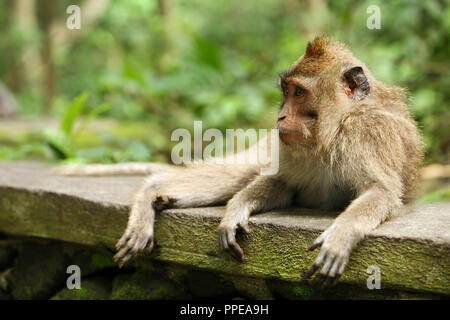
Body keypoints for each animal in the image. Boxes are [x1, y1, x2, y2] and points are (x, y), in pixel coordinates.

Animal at [56, 37, 422, 288]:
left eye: (299, 93)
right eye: (285, 91)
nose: (280, 116)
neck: (334, 131)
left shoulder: (372, 134)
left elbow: (381, 192)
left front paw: (340, 237)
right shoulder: (286, 148)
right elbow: (279, 183)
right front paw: (234, 212)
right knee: (237, 175)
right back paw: (150, 193)